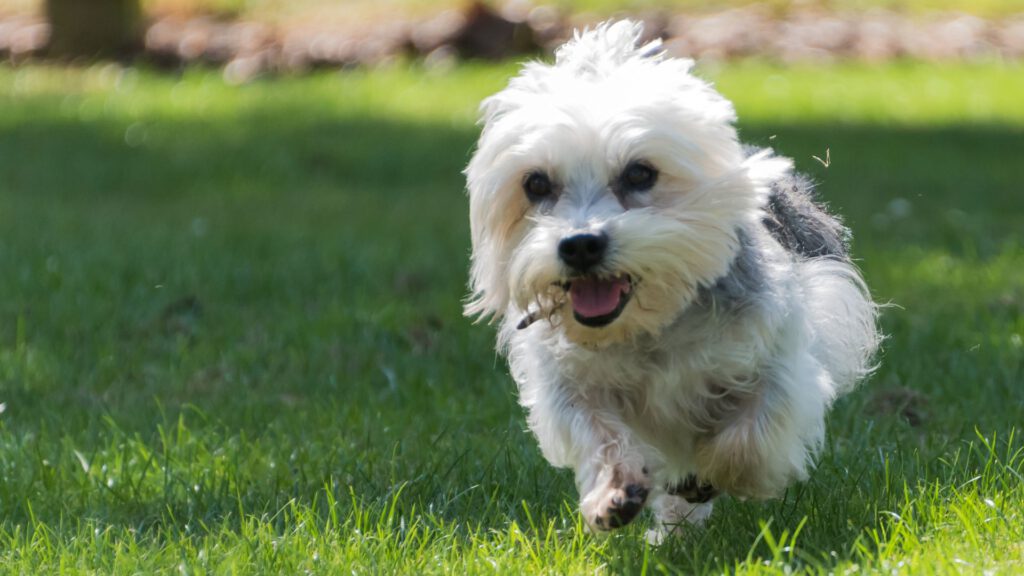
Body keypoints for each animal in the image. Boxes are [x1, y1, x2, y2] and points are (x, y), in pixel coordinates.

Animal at [464, 21, 880, 537]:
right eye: (535, 183)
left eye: (640, 173)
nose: (579, 245)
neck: (651, 327)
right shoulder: (566, 383)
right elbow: (597, 430)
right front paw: (614, 490)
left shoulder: (780, 357)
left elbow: (749, 434)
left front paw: (713, 473)